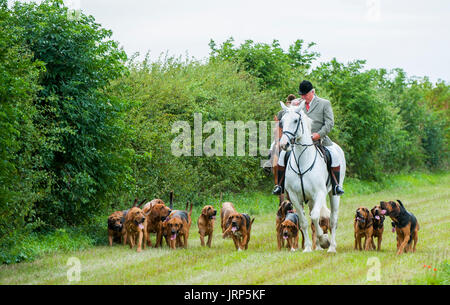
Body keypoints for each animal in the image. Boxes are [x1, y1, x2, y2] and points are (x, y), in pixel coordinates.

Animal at [280, 101, 346, 252]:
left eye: (295, 120)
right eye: (282, 121)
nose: (284, 144)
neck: (301, 162)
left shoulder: (320, 193)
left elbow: (316, 216)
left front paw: (324, 239)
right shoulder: (294, 196)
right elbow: (304, 221)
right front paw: (308, 248)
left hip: (334, 194)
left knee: (333, 220)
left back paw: (331, 247)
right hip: (310, 199)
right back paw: (318, 247)